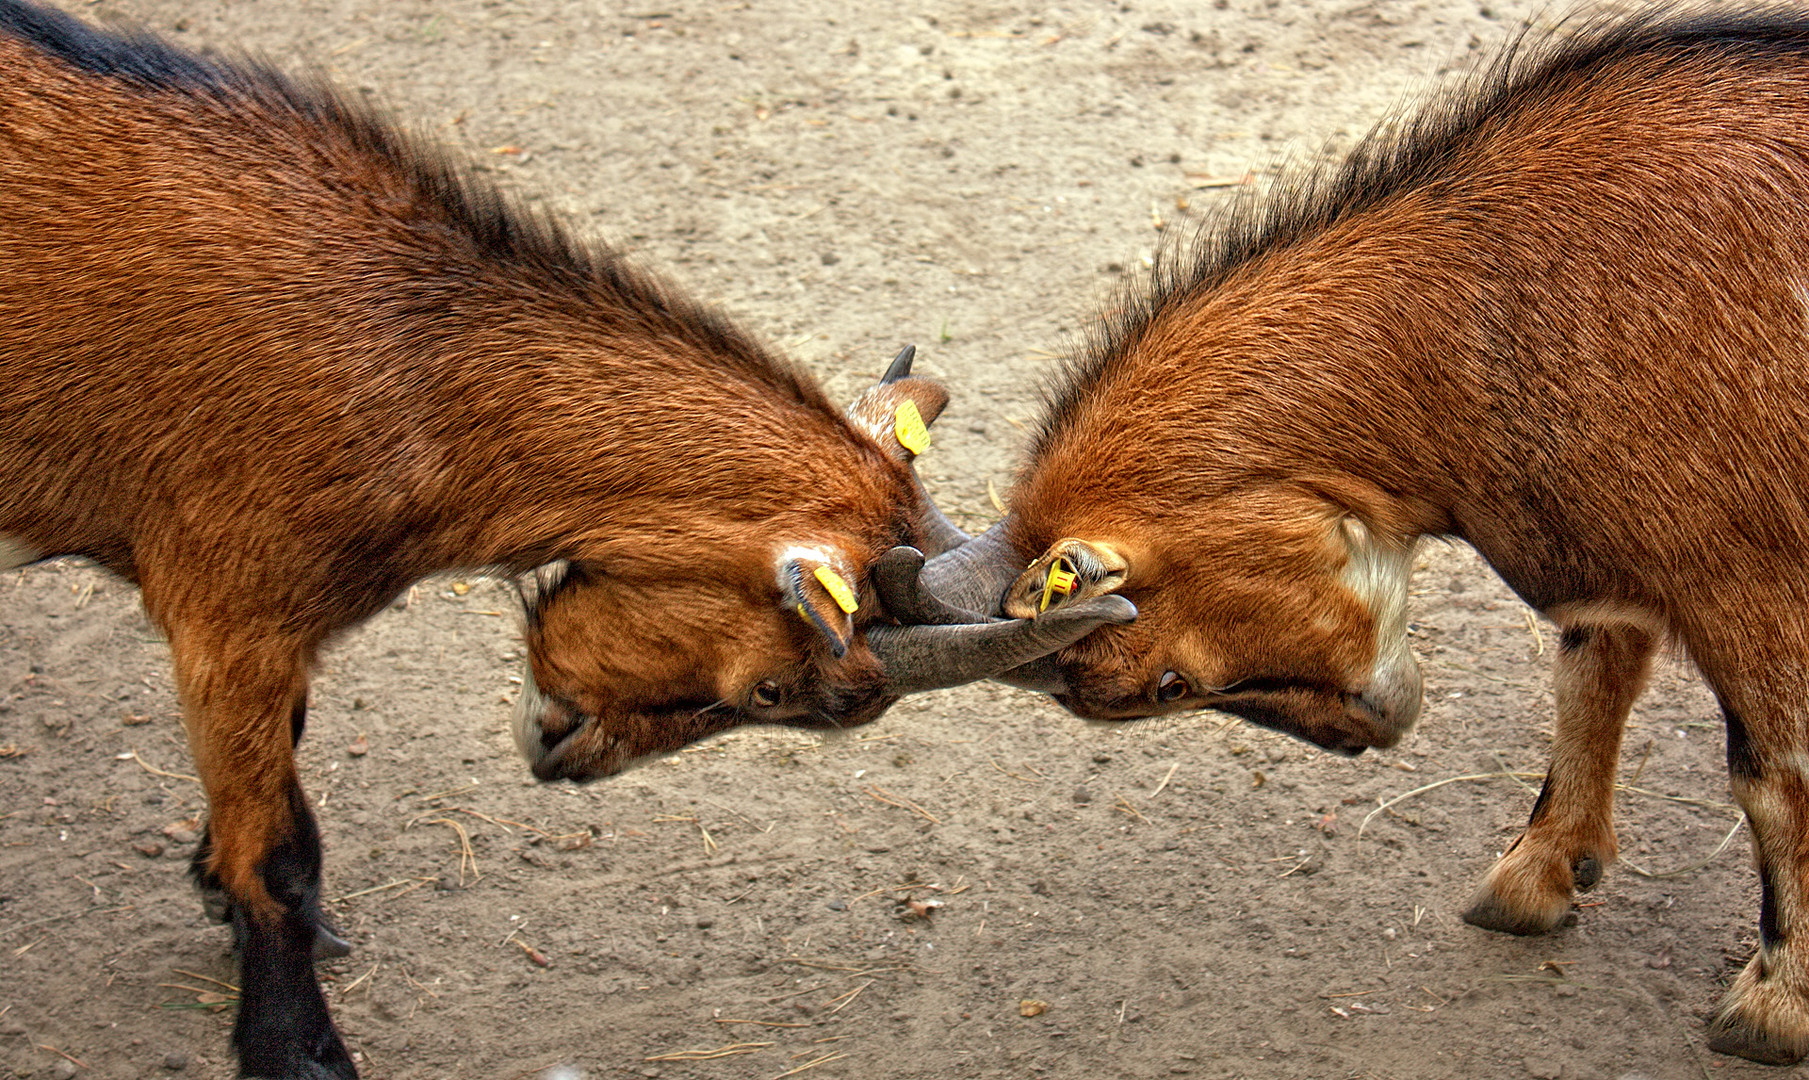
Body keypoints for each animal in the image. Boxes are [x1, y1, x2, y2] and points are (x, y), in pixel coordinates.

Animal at [0, 4, 1128, 1070]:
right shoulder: (227, 611)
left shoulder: (274, 629)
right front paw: (298, 1051)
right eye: (786, 693)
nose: (559, 759)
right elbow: (272, 853)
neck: (407, 360)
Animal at [918, 8, 1809, 1063]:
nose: (1361, 735)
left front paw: (1772, 1007)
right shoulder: (1615, 560)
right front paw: (1532, 880)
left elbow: (1771, 775)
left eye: (1166, 685)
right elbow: (1589, 680)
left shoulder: (1745, 575)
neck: (1484, 300)